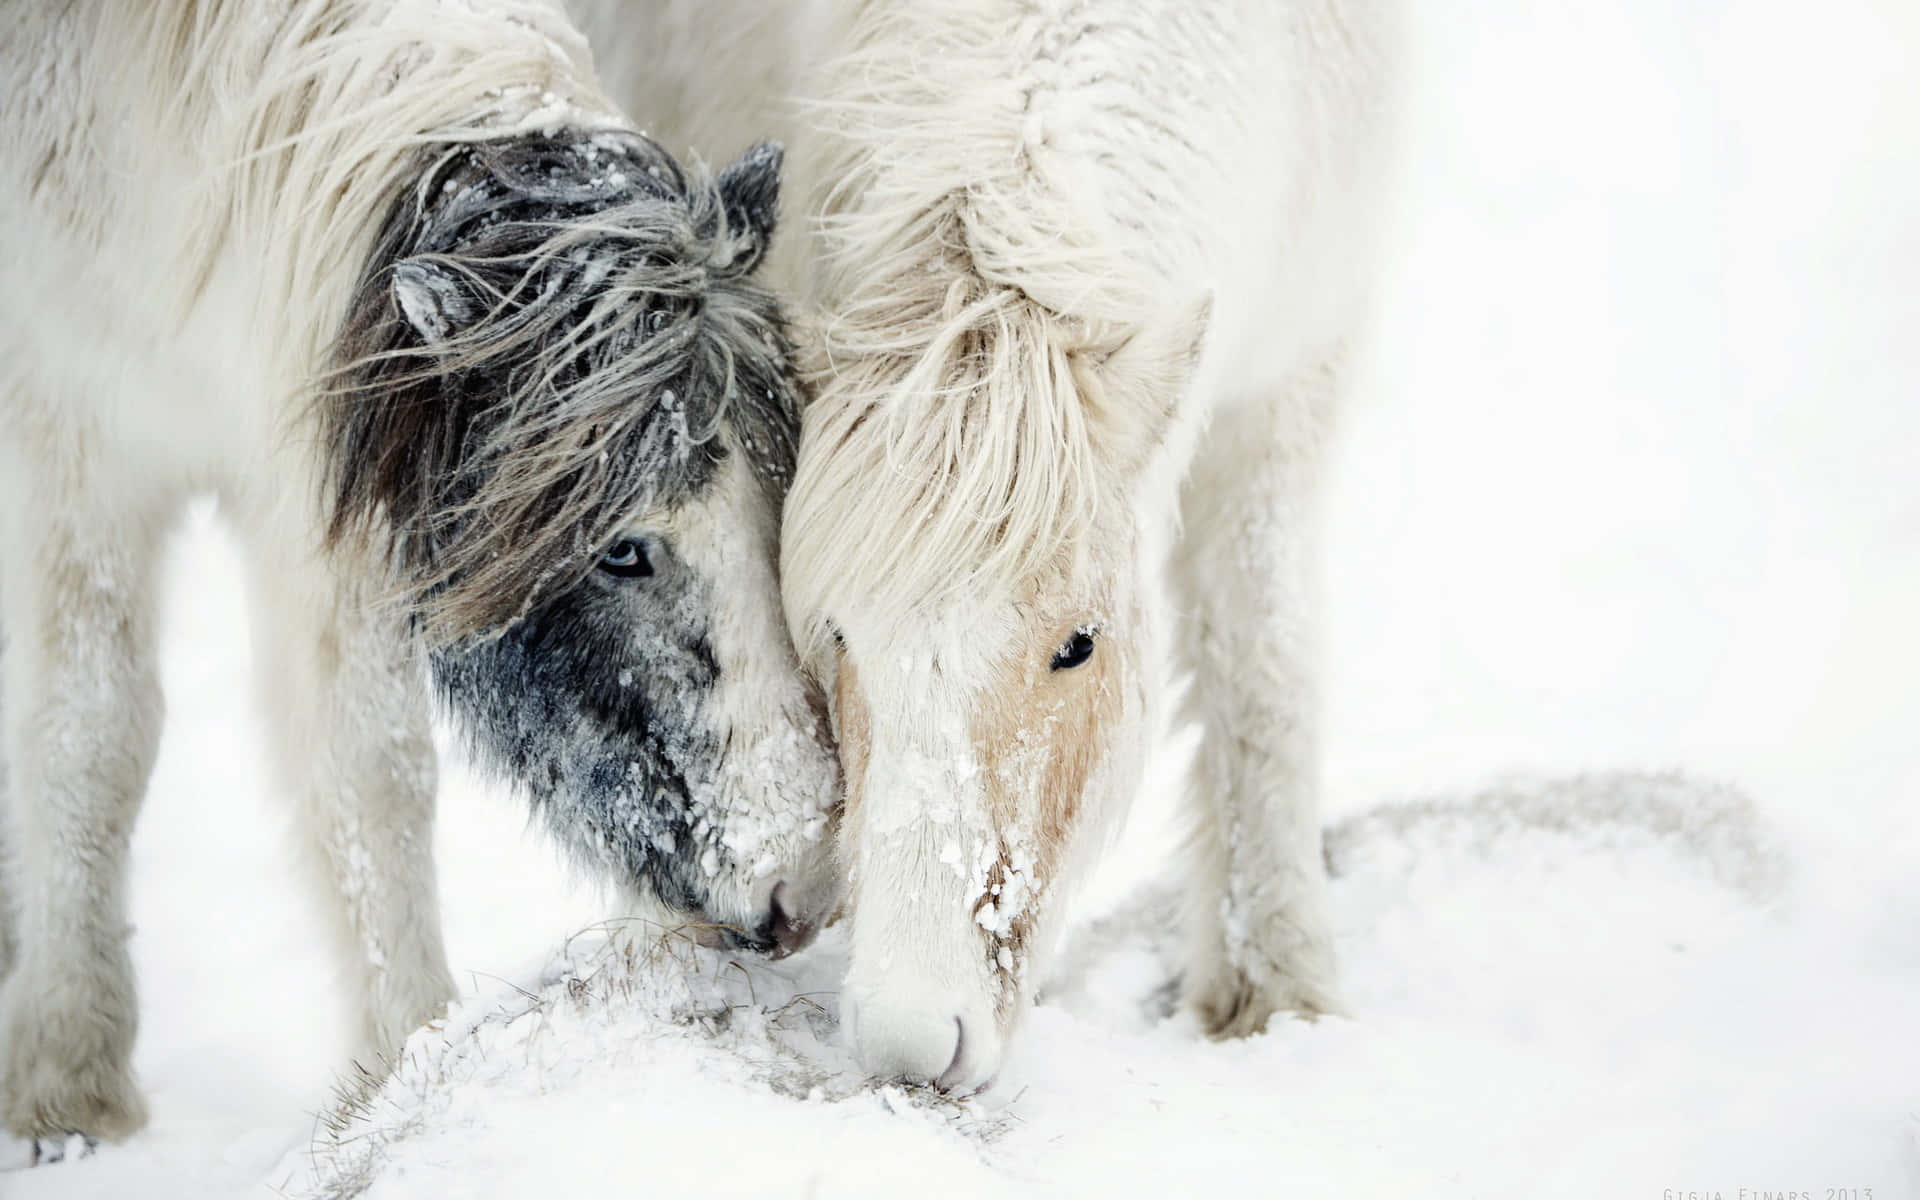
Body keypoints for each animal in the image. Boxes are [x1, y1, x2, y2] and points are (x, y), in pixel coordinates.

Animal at [0, 0, 840, 1155]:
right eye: (621, 548)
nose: (805, 891)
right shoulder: (74, 451)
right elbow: (95, 734)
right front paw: (69, 1079)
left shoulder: (332, 515)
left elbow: (366, 775)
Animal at [572, 0, 1399, 1090]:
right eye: (836, 636)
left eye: (1079, 645)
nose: (913, 1043)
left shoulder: (1293, 377)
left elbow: (1263, 669)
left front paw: (1279, 992)